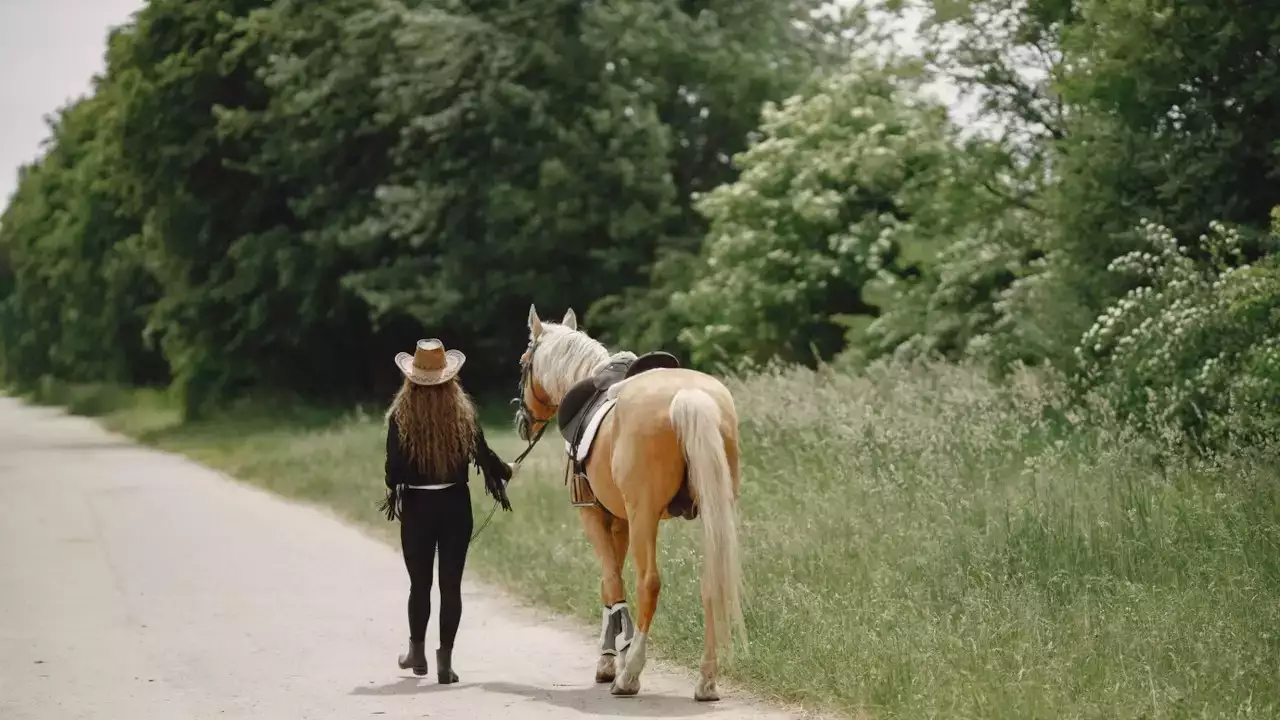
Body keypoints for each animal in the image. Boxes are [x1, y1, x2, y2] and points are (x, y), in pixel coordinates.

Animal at [512, 304, 747, 696]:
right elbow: (613, 582)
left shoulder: (594, 514)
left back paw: (630, 673)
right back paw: (706, 679)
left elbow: (611, 582)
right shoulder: (620, 519)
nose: (522, 421)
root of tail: (688, 396)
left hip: (645, 514)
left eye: (523, 362)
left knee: (648, 582)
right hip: (714, 511)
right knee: (711, 580)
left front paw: (611, 660)